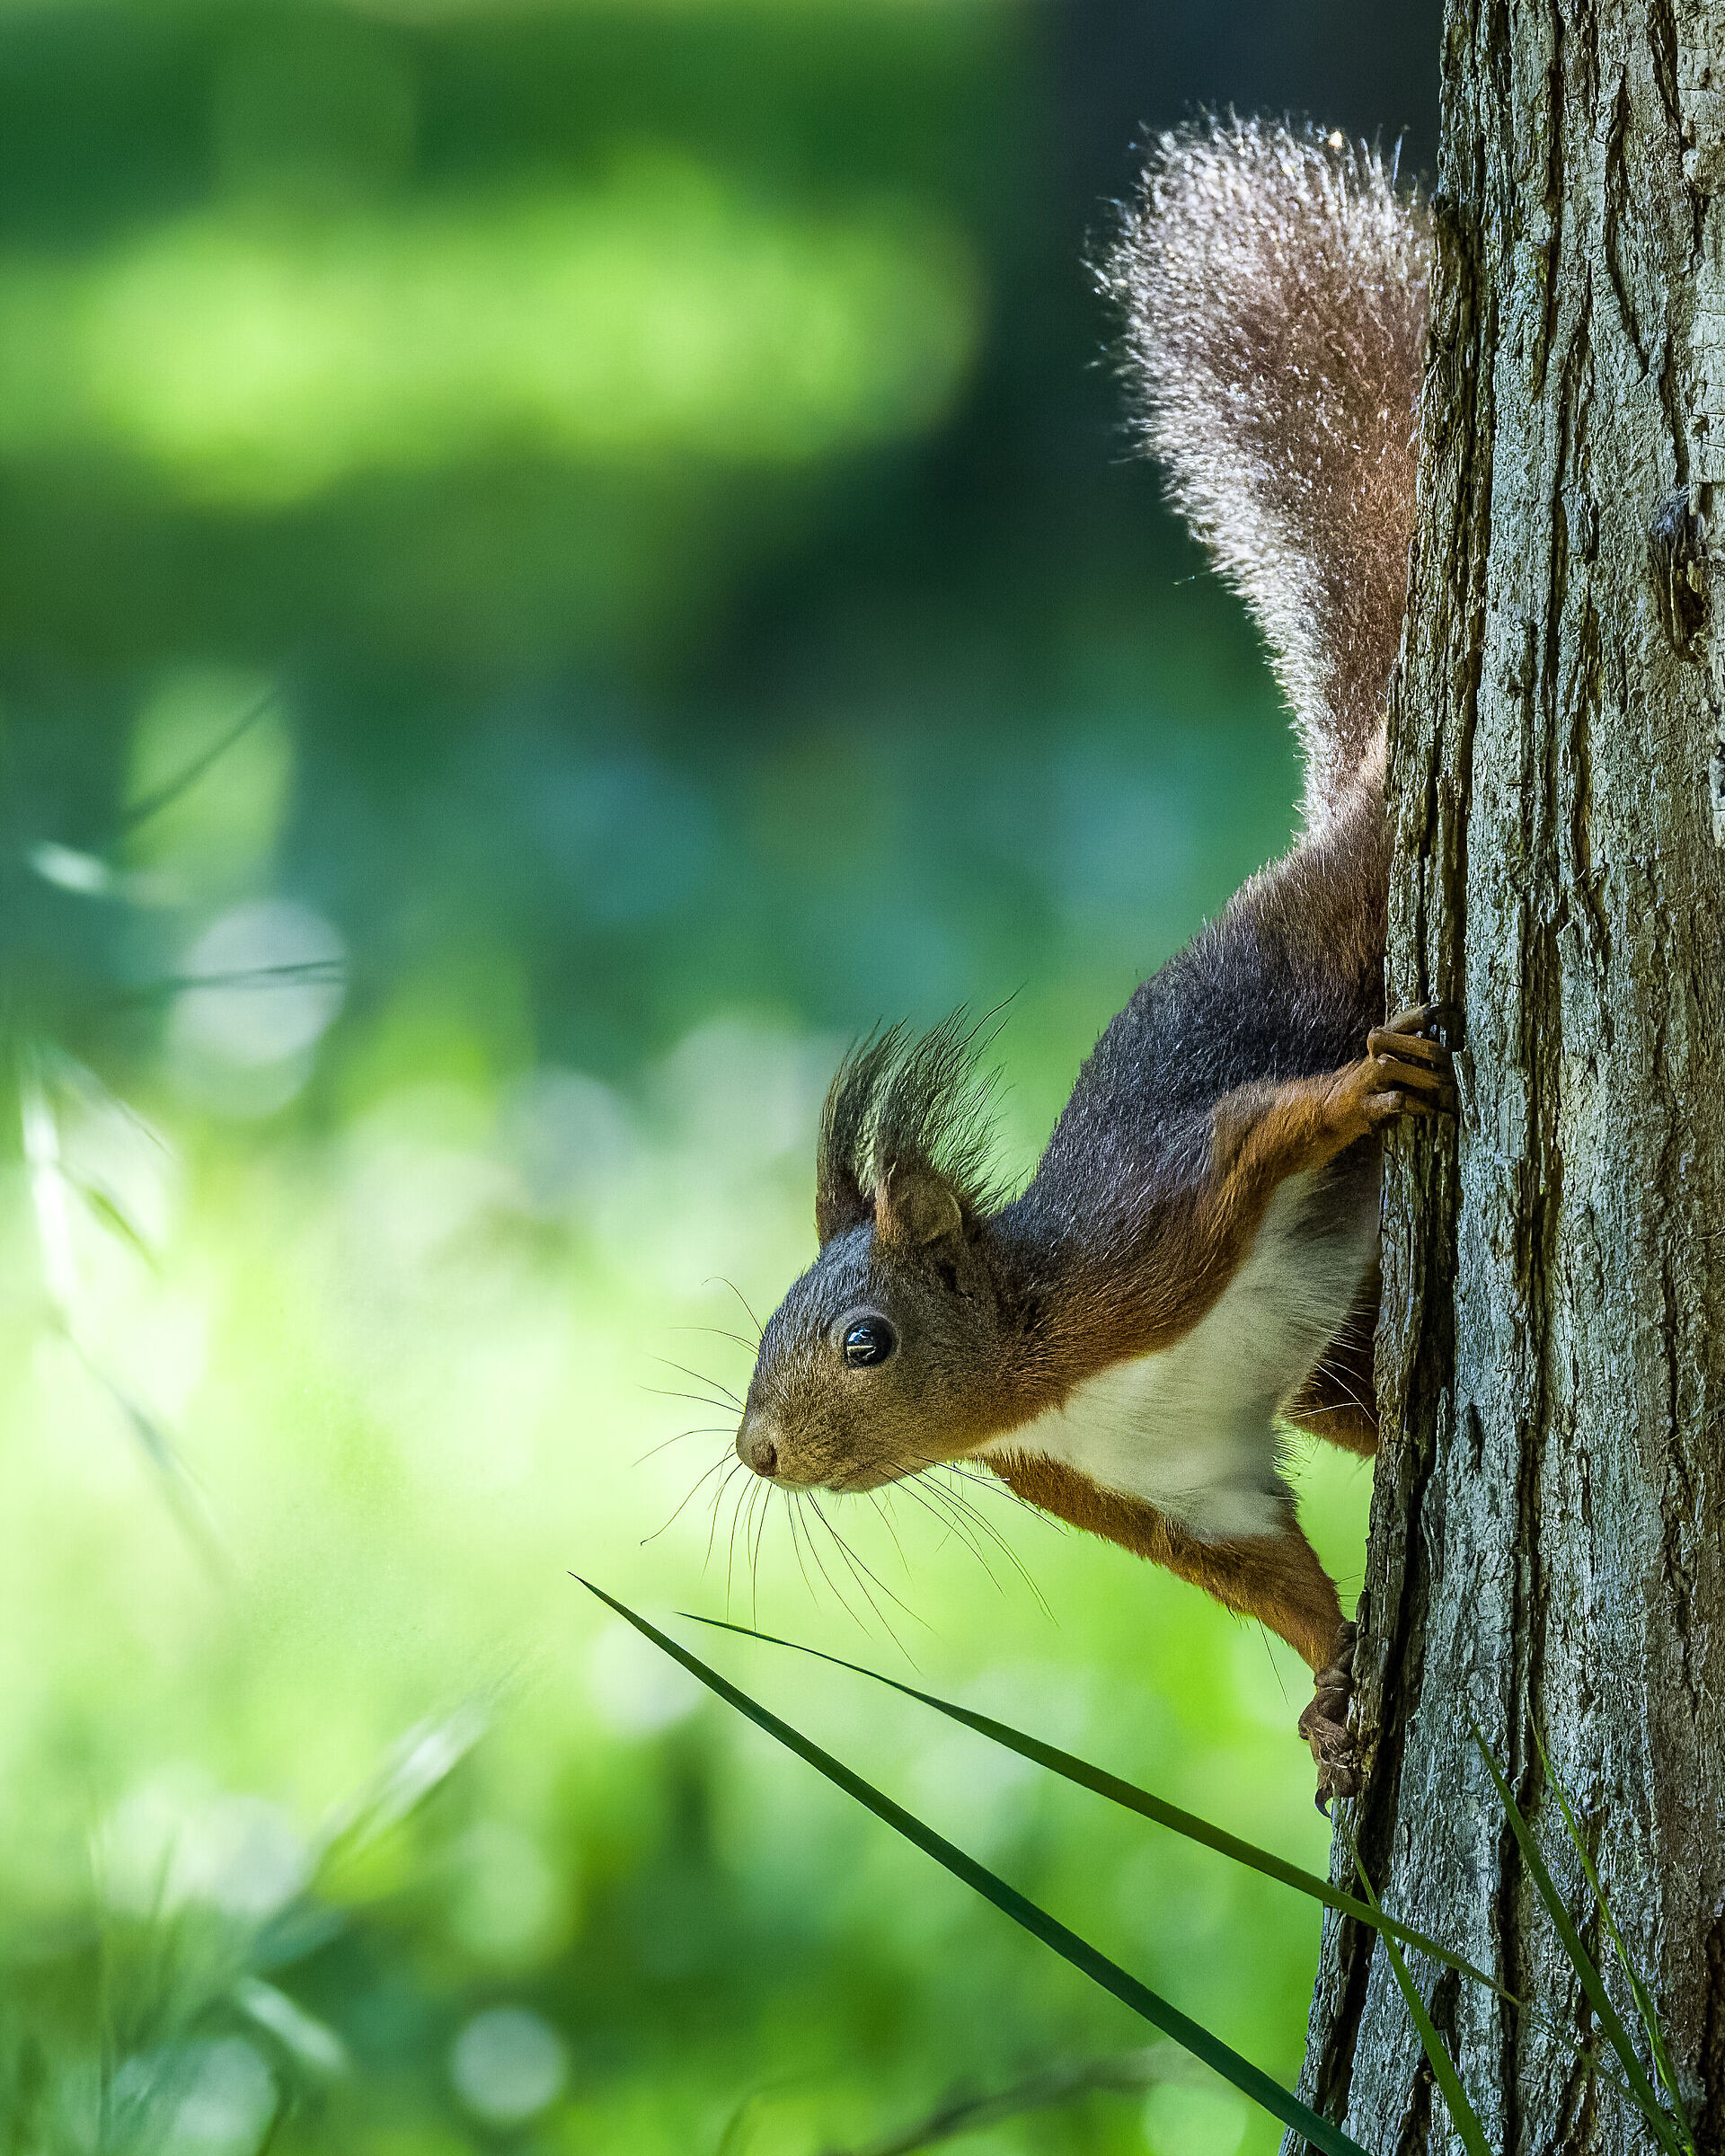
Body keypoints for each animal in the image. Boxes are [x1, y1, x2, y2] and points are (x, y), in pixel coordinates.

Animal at [729, 118, 1450, 1808]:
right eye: (767, 1334)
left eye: (865, 1342)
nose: (759, 1451)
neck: (1053, 1379)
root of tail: (1357, 795)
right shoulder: (1171, 1481)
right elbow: (1270, 1581)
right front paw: (1337, 1700)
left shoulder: (1155, 1234)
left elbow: (1258, 1129)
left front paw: (1364, 1086)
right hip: (1330, 1378)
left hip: (1350, 910)